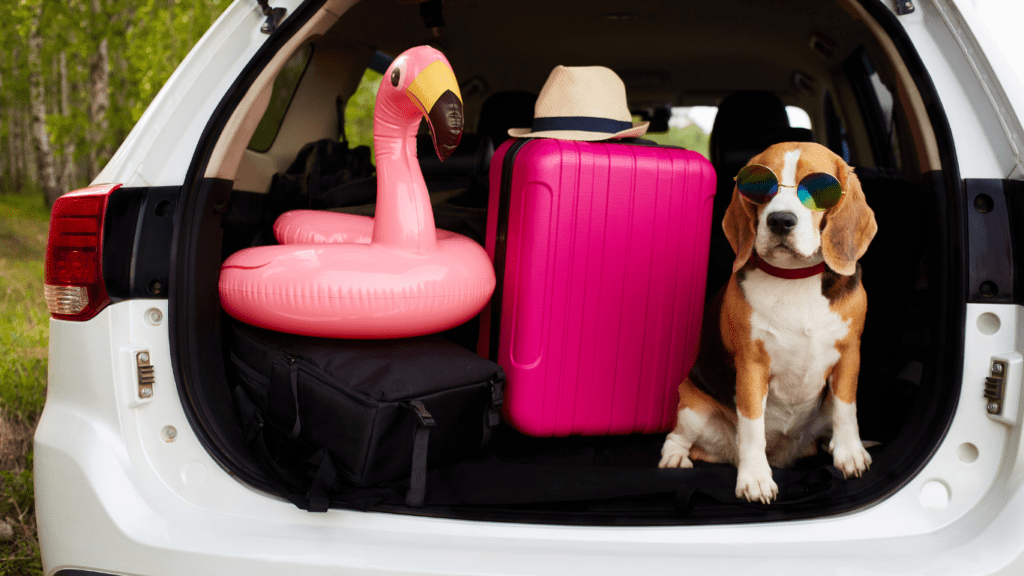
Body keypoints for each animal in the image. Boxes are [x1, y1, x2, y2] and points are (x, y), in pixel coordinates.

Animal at [659, 140, 876, 502]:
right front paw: (755, 479)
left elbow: (848, 409)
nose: (780, 221)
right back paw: (675, 458)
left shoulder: (849, 355)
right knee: (679, 437)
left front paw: (850, 454)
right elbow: (751, 427)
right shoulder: (752, 366)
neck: (795, 277)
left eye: (818, 188)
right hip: (694, 409)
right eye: (761, 186)